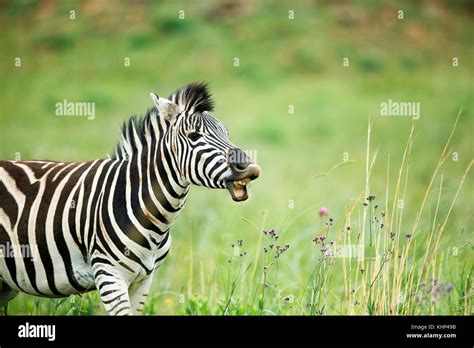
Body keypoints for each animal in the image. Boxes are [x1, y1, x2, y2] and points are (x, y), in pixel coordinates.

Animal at [0, 82, 260, 316]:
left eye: (227, 133)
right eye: (194, 136)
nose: (249, 167)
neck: (153, 216)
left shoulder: (143, 279)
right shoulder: (109, 276)